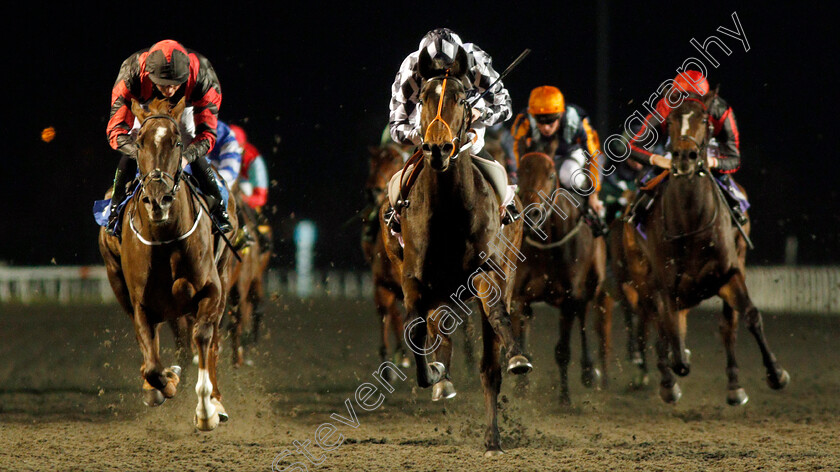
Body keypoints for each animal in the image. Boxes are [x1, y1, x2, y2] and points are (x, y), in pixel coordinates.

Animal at [97, 97, 240, 430]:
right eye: (138, 143)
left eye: (177, 143)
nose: (158, 200)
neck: (167, 237)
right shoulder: (141, 303)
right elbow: (151, 362)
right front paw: (165, 383)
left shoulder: (211, 290)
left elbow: (204, 338)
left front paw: (207, 411)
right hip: (120, 282)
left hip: (225, 273)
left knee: (210, 342)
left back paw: (216, 400)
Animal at [382, 47, 528, 454]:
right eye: (423, 98)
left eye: (462, 99)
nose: (438, 148)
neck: (447, 208)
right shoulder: (414, 280)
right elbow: (416, 332)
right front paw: (434, 373)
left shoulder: (486, 272)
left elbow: (497, 321)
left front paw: (517, 357)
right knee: (436, 327)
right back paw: (443, 376)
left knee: (490, 348)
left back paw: (492, 434)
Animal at [508, 153, 612, 404]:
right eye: (520, 172)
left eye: (551, 174)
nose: (531, 214)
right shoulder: (519, 296)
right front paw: (521, 388)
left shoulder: (568, 298)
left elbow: (563, 351)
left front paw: (565, 397)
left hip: (592, 285)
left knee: (585, 316)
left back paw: (588, 371)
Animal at [612, 92, 792, 406]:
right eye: (671, 120)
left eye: (706, 119)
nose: (685, 157)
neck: (691, 221)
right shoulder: (664, 286)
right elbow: (668, 336)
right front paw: (672, 374)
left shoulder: (730, 273)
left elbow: (749, 316)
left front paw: (775, 373)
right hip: (640, 276)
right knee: (653, 324)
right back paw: (667, 380)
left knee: (726, 324)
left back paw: (733, 385)